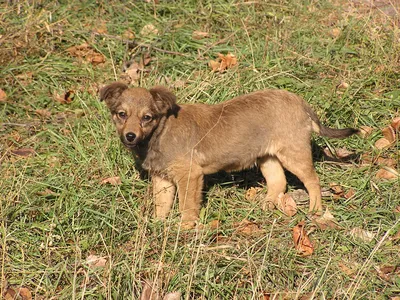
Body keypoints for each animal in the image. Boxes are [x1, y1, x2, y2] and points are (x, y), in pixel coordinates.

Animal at [99, 82, 356, 227]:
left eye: (147, 117)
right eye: (121, 114)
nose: (130, 136)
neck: (159, 134)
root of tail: (301, 103)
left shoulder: (189, 176)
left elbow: (186, 206)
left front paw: (185, 228)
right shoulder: (162, 179)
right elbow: (161, 206)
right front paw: (158, 226)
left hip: (293, 153)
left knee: (312, 180)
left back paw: (315, 210)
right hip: (267, 157)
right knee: (278, 181)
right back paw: (266, 206)